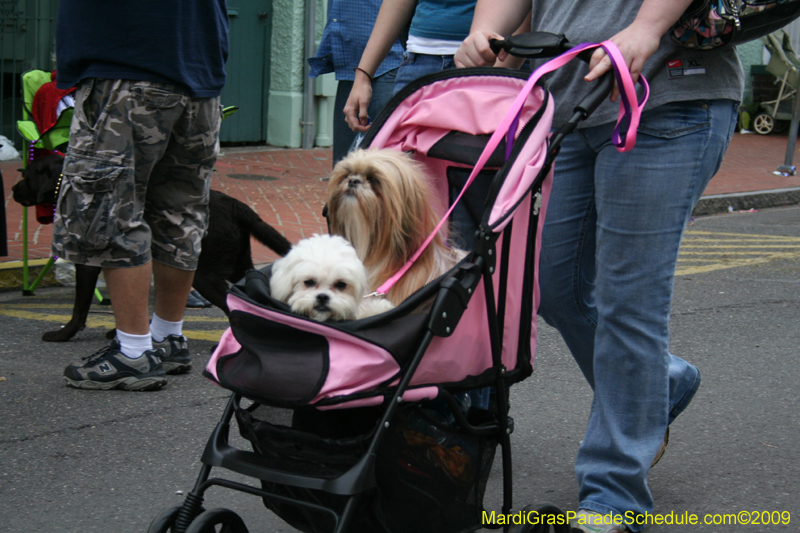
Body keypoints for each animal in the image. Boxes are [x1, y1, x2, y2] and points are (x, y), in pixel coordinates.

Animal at [12, 153, 292, 340]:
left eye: (26, 175)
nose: (13, 190)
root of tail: (237, 204)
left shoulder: (89, 262)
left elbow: (80, 305)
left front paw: (65, 333)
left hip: (205, 275)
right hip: (236, 264)